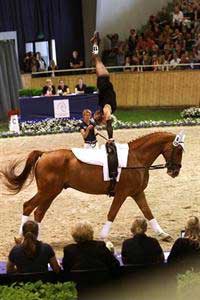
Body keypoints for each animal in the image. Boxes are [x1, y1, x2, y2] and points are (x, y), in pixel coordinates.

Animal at [0, 131, 184, 241]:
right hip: (47, 191)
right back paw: (22, 237)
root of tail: (45, 154)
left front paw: (163, 234)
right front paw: (102, 236)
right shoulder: (122, 193)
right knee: (28, 206)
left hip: (52, 192)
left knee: (38, 212)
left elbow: (148, 212)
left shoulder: (137, 193)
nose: (175, 171)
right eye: (179, 150)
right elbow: (112, 213)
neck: (135, 158)